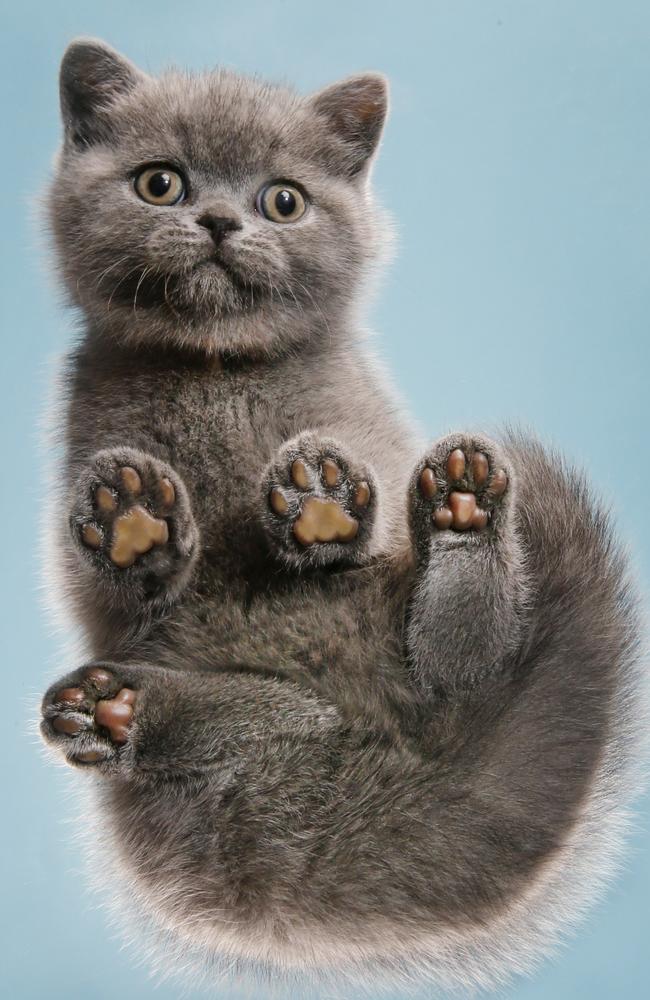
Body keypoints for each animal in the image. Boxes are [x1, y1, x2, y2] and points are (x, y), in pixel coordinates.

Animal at [39, 37, 644, 992]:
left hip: (426, 648)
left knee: (462, 655)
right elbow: (116, 580)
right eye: (160, 184)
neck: (219, 371)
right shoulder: (78, 508)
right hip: (226, 762)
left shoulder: (374, 444)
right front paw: (132, 516)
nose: (220, 221)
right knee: (255, 728)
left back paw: (463, 508)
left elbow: (361, 514)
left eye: (282, 200)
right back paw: (117, 710)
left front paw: (320, 496)